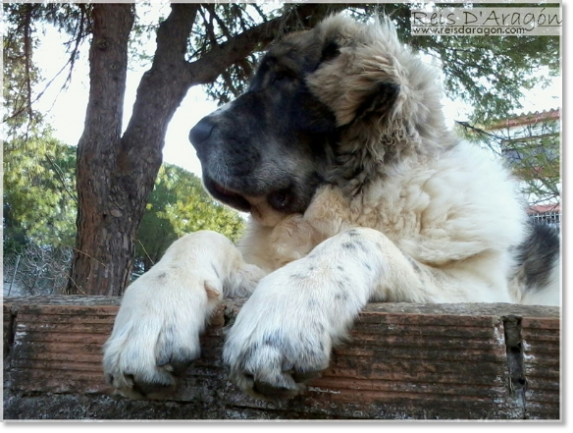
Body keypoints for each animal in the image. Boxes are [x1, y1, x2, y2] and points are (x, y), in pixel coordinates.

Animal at [103, 12, 560, 398]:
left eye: (283, 79)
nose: (193, 135)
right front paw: (153, 313)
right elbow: (199, 237)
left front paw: (285, 312)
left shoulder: (479, 290)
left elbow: (359, 239)